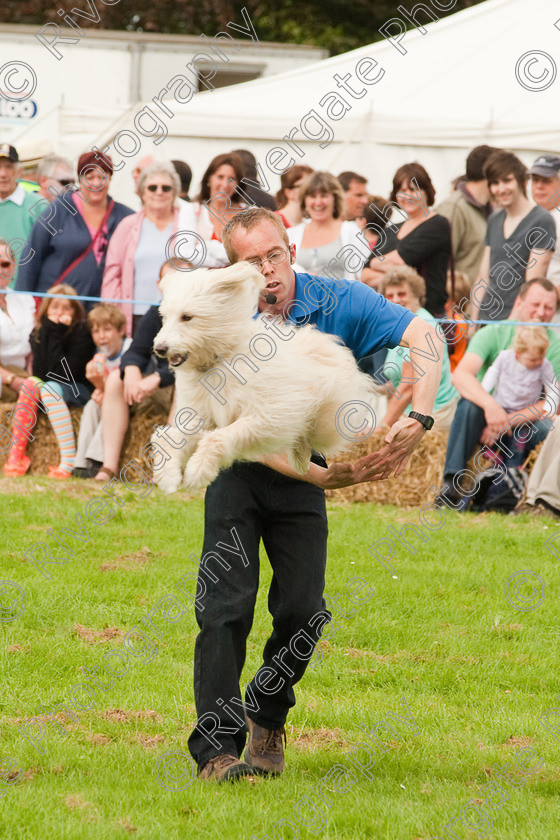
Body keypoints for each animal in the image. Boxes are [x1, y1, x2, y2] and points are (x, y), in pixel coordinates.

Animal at [153, 260, 380, 488]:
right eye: (164, 317)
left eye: (187, 317)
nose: (159, 348)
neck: (222, 357)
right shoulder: (202, 416)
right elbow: (168, 439)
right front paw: (169, 477)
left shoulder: (267, 415)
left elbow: (216, 437)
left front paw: (197, 471)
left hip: (327, 418)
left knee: (310, 434)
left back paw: (300, 458)